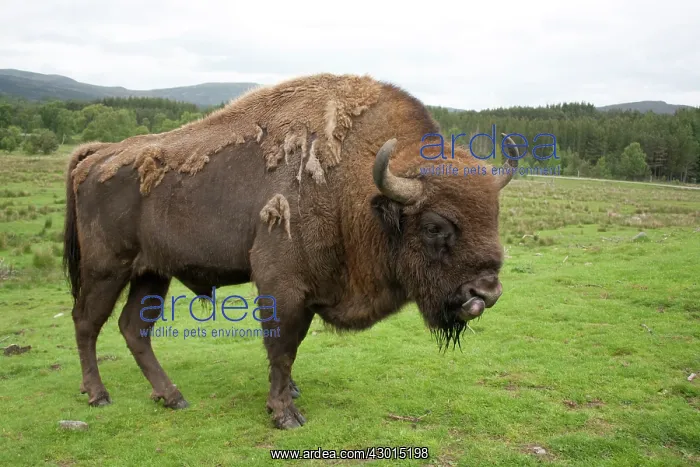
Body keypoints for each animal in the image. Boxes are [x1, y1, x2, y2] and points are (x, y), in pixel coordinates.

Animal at [63, 73, 518, 429]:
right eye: (435, 226)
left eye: (495, 216)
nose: (486, 293)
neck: (356, 185)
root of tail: (96, 155)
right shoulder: (282, 286)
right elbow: (283, 349)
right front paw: (285, 414)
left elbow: (289, 350)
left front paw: (289, 397)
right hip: (107, 269)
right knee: (87, 322)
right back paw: (97, 395)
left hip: (152, 272)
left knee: (133, 329)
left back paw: (172, 397)